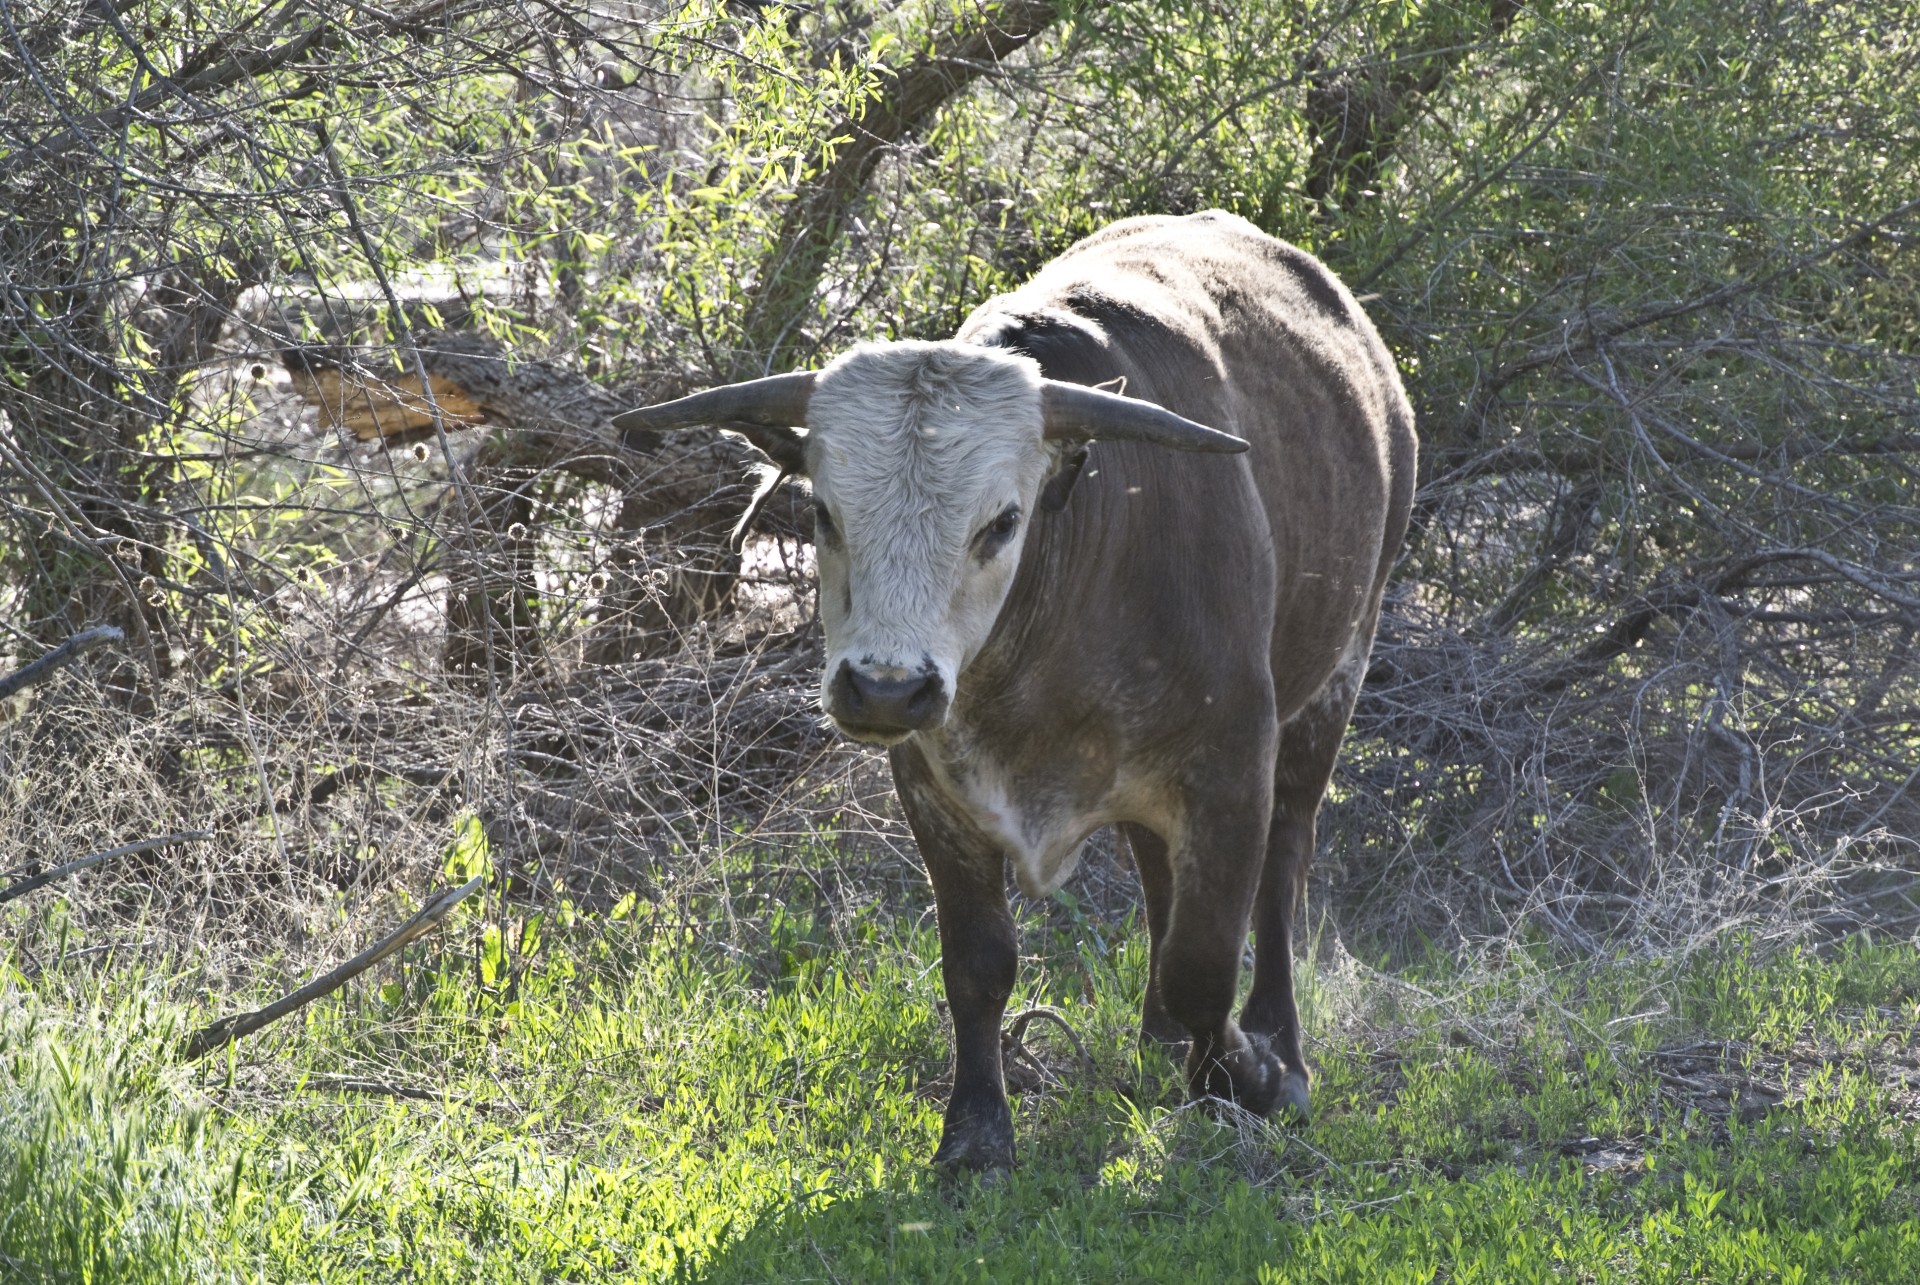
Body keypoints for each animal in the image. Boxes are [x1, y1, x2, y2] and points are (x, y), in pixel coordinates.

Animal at [614, 213, 1413, 1175]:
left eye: (1001, 521)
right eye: (823, 513)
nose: (885, 689)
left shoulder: (1232, 766)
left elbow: (1206, 960)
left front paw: (1244, 1075)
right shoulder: (932, 787)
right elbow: (980, 963)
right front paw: (977, 1132)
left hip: (1334, 680)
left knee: (1283, 867)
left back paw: (1276, 1048)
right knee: (1156, 870)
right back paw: (1155, 1041)